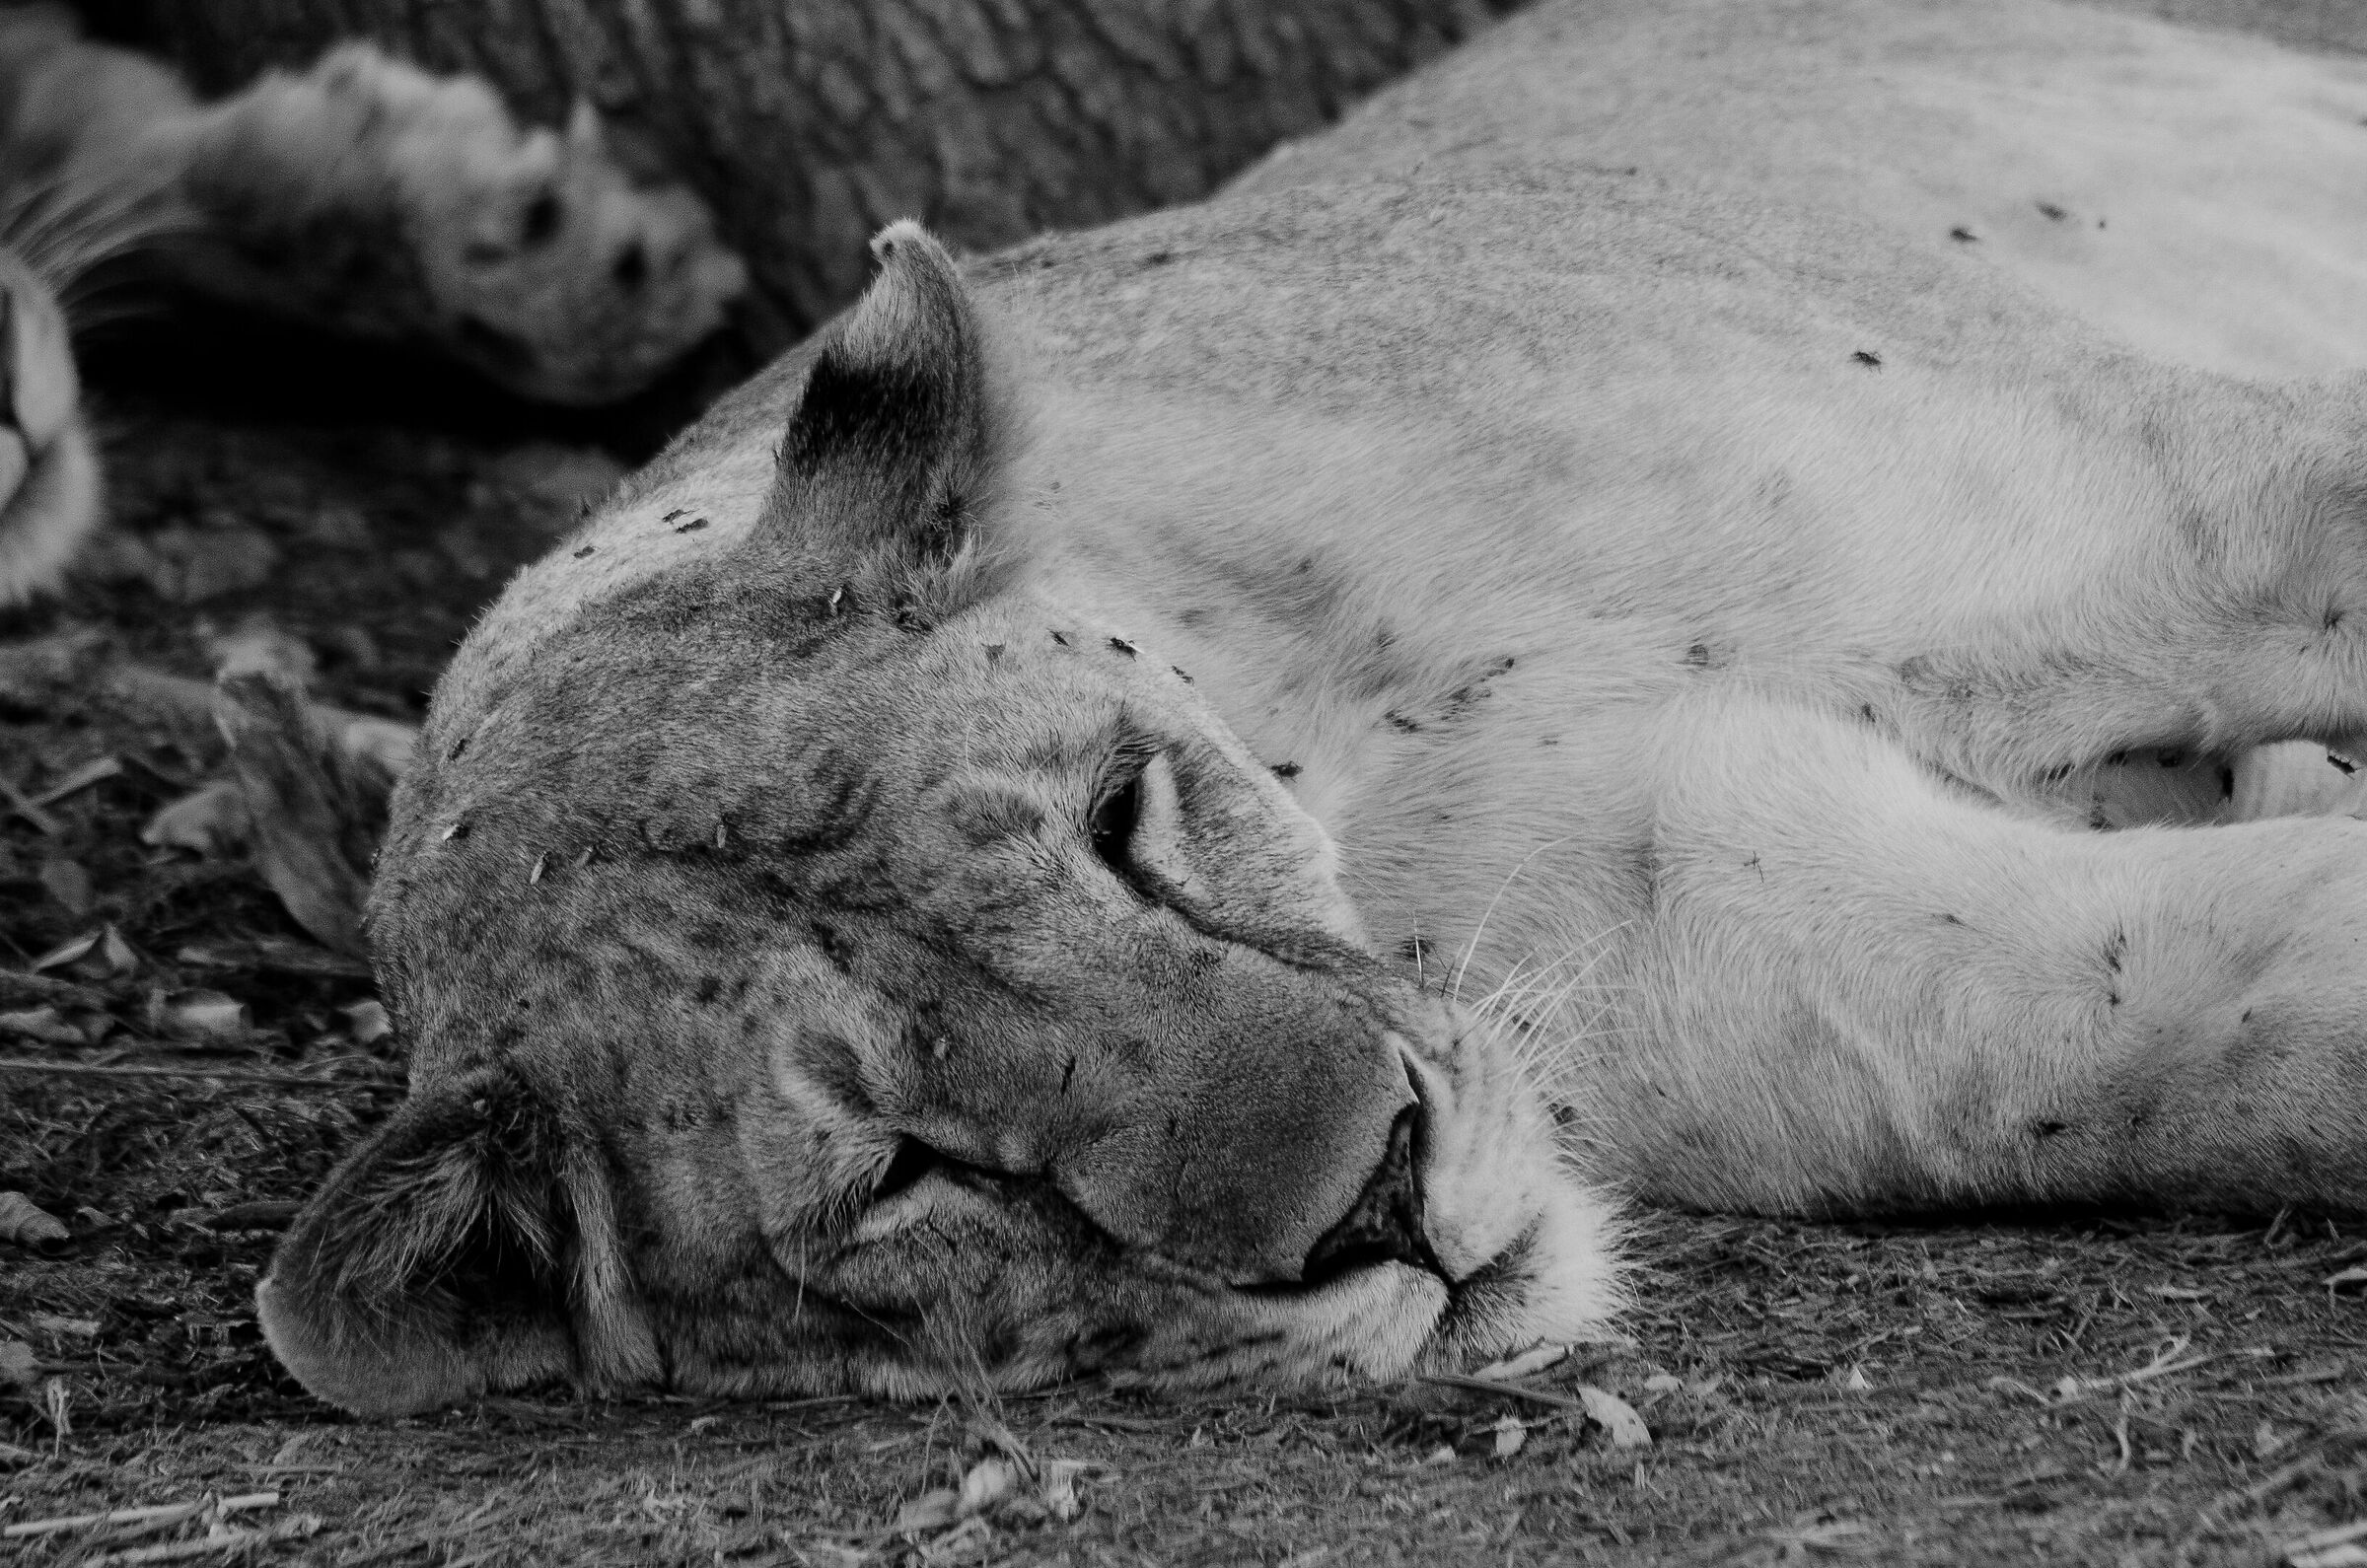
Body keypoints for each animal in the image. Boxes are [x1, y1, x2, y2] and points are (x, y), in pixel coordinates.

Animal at [262, 0, 2367, 1415]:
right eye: (908, 1177)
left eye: (1118, 818)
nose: (1383, 1201)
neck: (1370, 771)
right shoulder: (1905, 974)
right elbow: (2281, 1007)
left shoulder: (2184, 505)